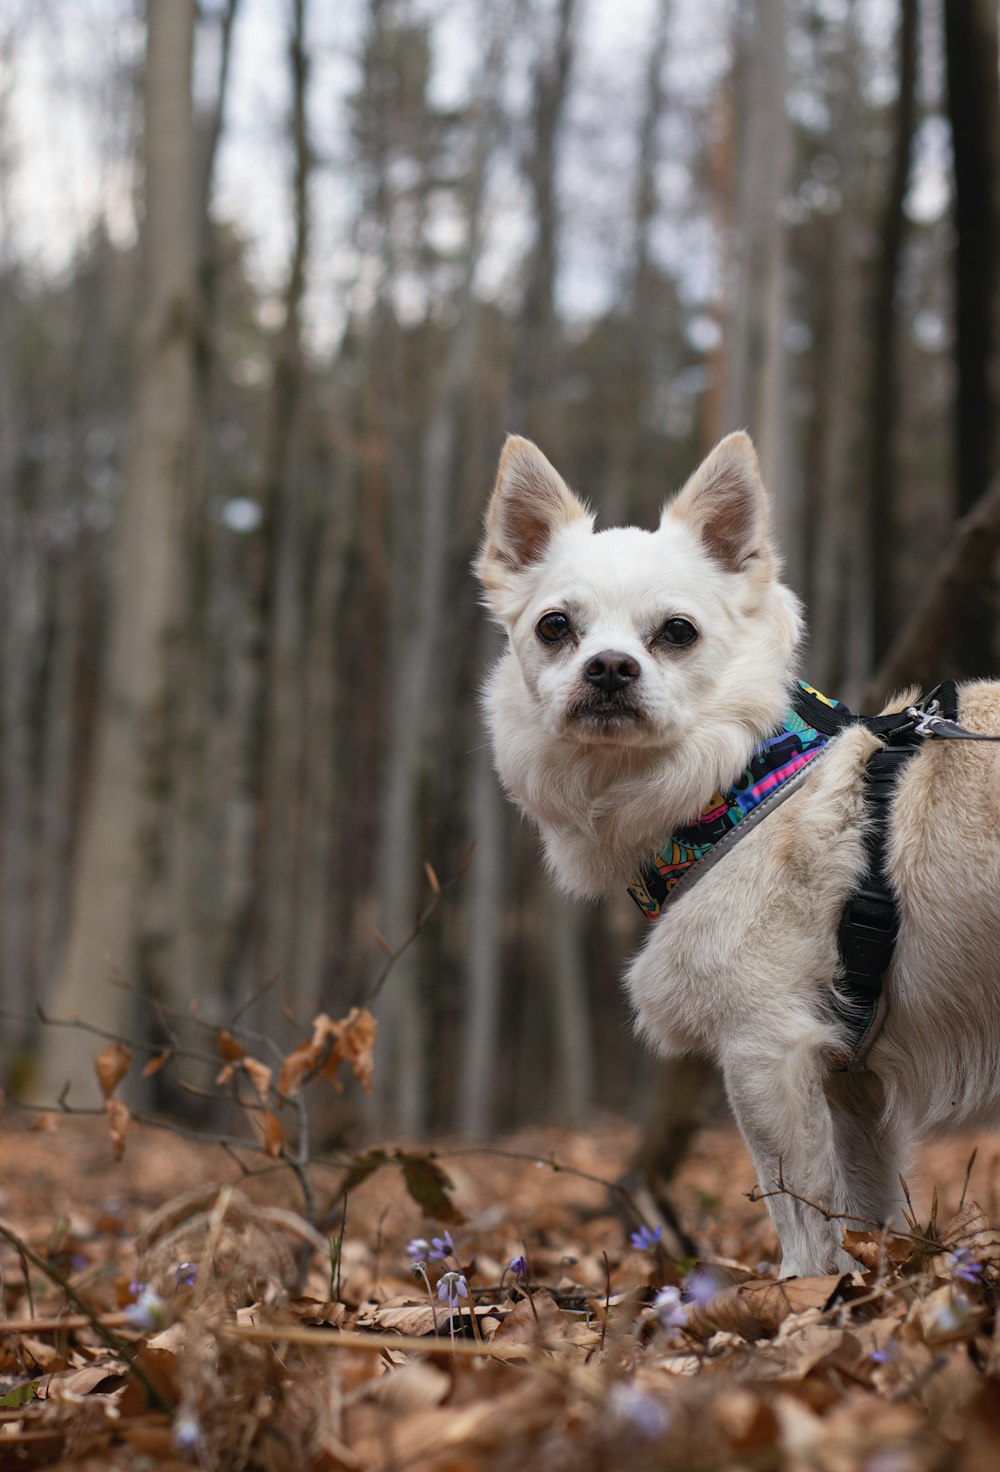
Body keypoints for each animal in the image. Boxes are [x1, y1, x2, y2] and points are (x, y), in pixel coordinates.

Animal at [474, 429, 1000, 1277]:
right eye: (555, 628)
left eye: (677, 633)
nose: (610, 668)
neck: (742, 785)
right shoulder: (849, 1085)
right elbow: (862, 1210)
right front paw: (864, 1290)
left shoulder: (766, 1053)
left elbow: (801, 1219)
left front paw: (799, 1298)